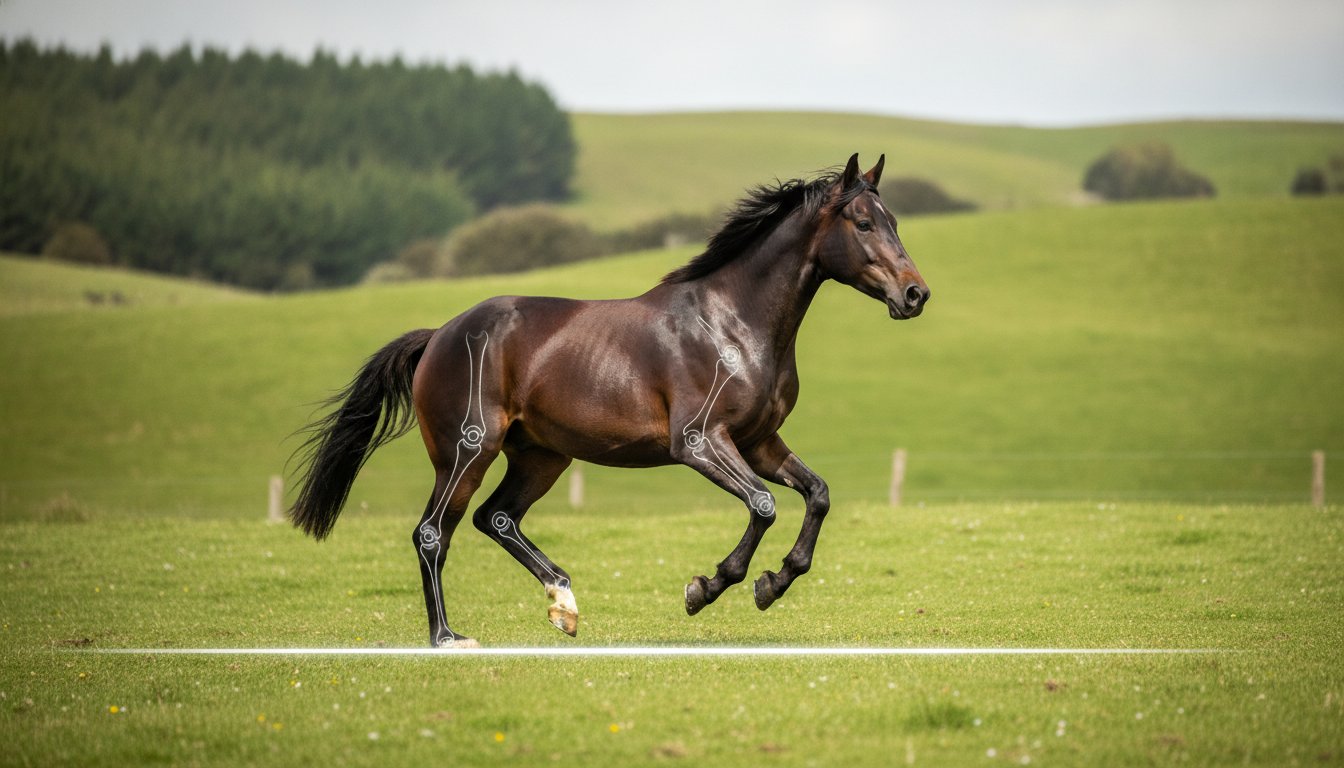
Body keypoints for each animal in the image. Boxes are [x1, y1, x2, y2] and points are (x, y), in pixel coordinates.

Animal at [289, 153, 930, 647]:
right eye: (863, 223)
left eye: (894, 221)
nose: (915, 294)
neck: (733, 323)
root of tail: (439, 335)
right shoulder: (700, 442)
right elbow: (765, 504)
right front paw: (706, 588)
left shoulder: (759, 441)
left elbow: (816, 494)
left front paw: (772, 584)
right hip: (469, 449)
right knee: (432, 532)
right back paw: (448, 636)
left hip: (541, 456)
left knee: (495, 517)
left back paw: (564, 604)